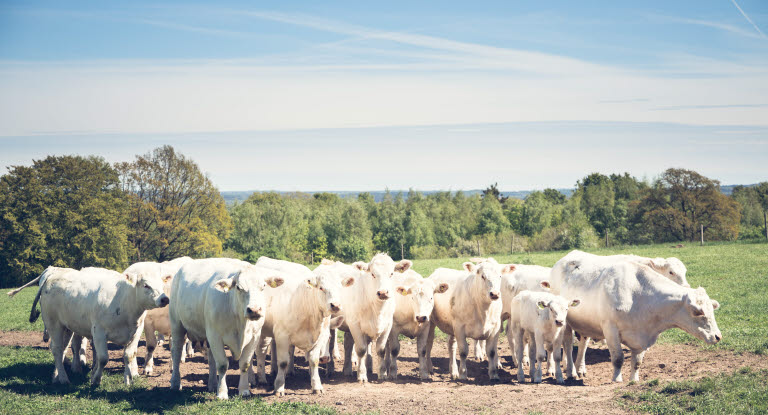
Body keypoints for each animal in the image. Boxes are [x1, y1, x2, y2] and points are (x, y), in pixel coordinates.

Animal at [31, 266, 168, 386]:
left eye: (162, 285)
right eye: (146, 285)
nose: (165, 299)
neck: (124, 302)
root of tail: (53, 273)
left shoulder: (136, 332)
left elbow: (129, 356)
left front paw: (128, 380)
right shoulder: (99, 332)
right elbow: (103, 358)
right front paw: (96, 379)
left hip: (67, 327)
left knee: (62, 349)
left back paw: (56, 376)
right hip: (53, 323)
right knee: (57, 348)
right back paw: (64, 379)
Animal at [170, 260, 284, 400]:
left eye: (263, 286)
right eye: (239, 287)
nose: (254, 310)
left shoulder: (254, 337)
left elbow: (245, 364)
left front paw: (244, 390)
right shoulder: (215, 336)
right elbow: (223, 365)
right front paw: (222, 393)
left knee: (211, 358)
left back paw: (213, 384)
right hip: (177, 325)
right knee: (176, 352)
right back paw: (176, 383)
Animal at [255, 266, 356, 396]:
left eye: (339, 288)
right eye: (321, 288)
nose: (336, 305)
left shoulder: (319, 338)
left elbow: (314, 360)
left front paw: (317, 386)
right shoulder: (282, 336)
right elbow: (283, 362)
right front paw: (279, 388)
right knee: (259, 351)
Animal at [316, 254, 414, 384]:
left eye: (392, 273)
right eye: (372, 274)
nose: (383, 292)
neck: (377, 310)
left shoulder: (387, 326)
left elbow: (381, 350)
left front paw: (382, 374)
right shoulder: (355, 325)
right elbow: (361, 350)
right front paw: (362, 375)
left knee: (348, 344)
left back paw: (347, 370)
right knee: (331, 344)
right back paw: (330, 369)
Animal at [548, 260, 724, 384]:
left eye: (712, 311)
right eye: (698, 312)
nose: (718, 336)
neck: (639, 295)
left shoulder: (642, 338)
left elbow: (637, 362)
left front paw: (634, 380)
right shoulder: (610, 329)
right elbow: (618, 358)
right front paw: (617, 379)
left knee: (583, 343)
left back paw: (580, 368)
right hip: (565, 323)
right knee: (568, 346)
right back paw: (571, 371)